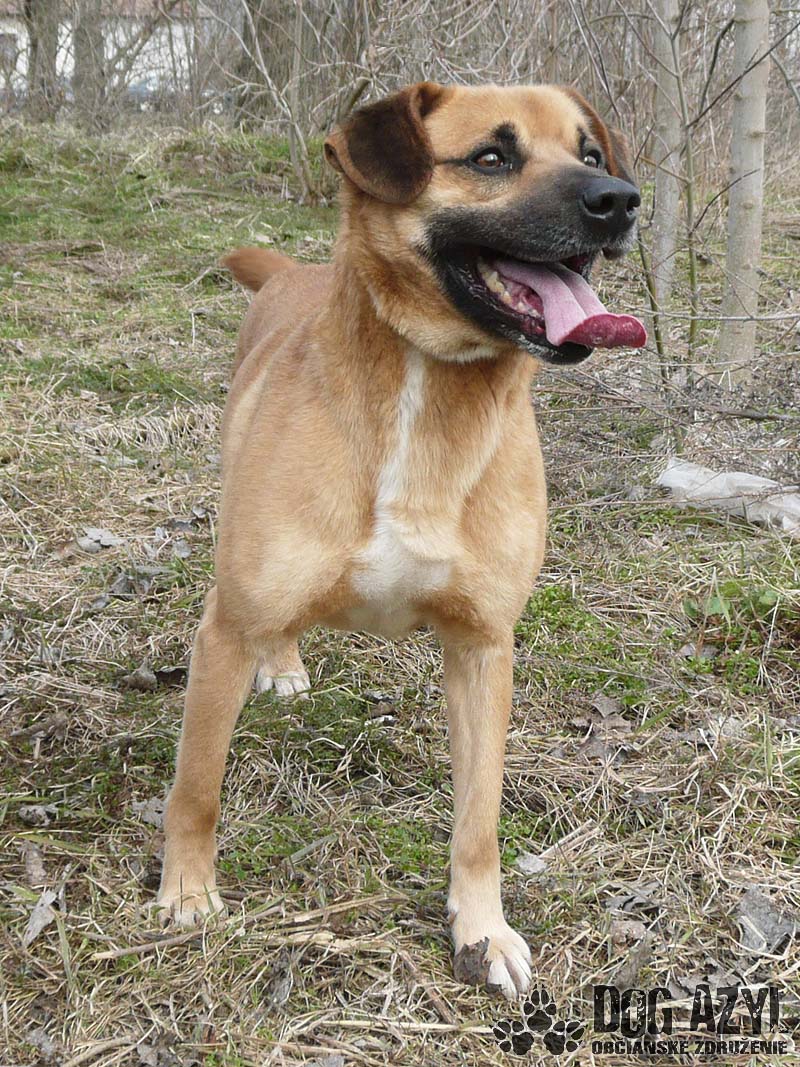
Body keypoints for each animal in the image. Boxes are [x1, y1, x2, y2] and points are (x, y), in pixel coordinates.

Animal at [156, 82, 645, 999]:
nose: (622, 200)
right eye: (491, 157)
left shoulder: (484, 648)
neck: (430, 398)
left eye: (590, 154)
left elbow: (480, 818)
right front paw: (188, 893)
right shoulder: (228, 630)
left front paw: (482, 930)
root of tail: (294, 274)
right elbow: (197, 784)